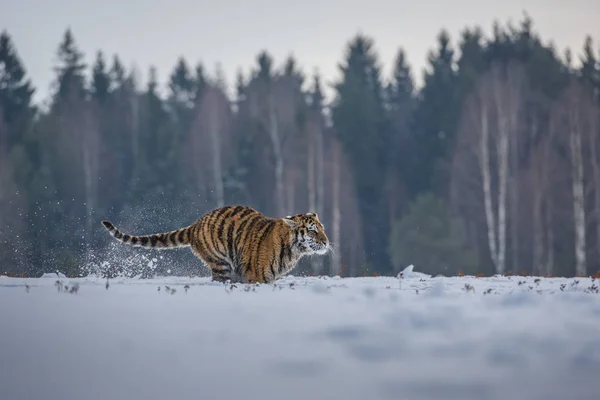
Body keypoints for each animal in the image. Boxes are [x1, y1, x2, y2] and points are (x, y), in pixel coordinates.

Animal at [101, 206, 330, 284]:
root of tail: (196, 224)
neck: (294, 250)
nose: (327, 242)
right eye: (312, 230)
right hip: (221, 263)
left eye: (322, 228)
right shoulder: (256, 277)